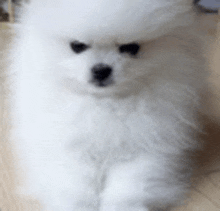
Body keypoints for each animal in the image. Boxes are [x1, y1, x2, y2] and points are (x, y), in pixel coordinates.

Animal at [9, 0, 211, 211]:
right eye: (77, 46)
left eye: (131, 48)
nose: (101, 69)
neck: (105, 103)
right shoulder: (68, 148)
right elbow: (76, 186)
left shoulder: (145, 148)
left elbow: (128, 187)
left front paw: (123, 206)